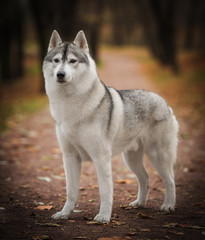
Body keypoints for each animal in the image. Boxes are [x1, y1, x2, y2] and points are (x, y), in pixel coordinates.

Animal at [42, 30, 179, 223]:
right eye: (56, 60)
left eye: (72, 61)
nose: (60, 74)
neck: (70, 104)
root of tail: (164, 103)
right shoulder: (69, 157)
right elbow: (71, 192)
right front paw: (65, 214)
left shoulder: (101, 158)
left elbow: (105, 192)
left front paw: (104, 217)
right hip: (131, 159)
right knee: (145, 177)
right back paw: (139, 203)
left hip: (157, 156)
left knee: (170, 180)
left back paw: (168, 206)